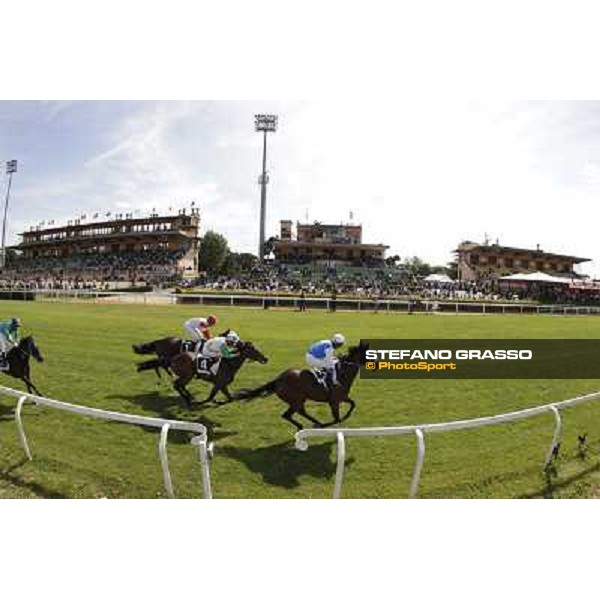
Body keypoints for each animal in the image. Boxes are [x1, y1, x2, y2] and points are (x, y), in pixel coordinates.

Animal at [233, 342, 366, 432]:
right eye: (367, 354)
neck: (342, 374)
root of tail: (278, 379)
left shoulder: (342, 397)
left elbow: (353, 404)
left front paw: (345, 416)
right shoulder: (334, 401)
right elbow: (336, 419)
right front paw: (326, 424)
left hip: (300, 399)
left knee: (300, 412)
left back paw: (315, 422)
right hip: (295, 400)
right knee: (287, 415)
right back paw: (305, 425)